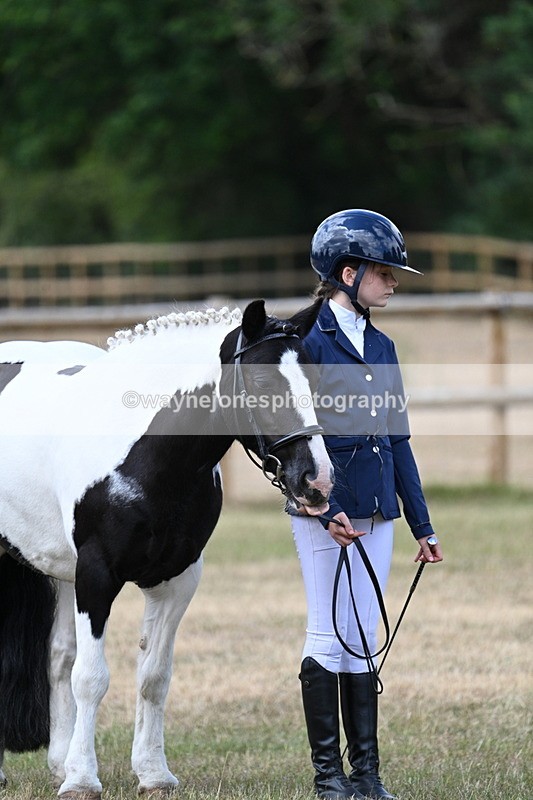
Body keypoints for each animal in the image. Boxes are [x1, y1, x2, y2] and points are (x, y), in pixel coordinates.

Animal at [0, 298, 333, 799]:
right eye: (261, 382)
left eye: (315, 378)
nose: (317, 481)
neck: (143, 453)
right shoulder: (96, 574)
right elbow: (92, 678)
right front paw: (83, 779)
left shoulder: (176, 579)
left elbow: (153, 676)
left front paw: (153, 772)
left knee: (58, 656)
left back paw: (59, 760)